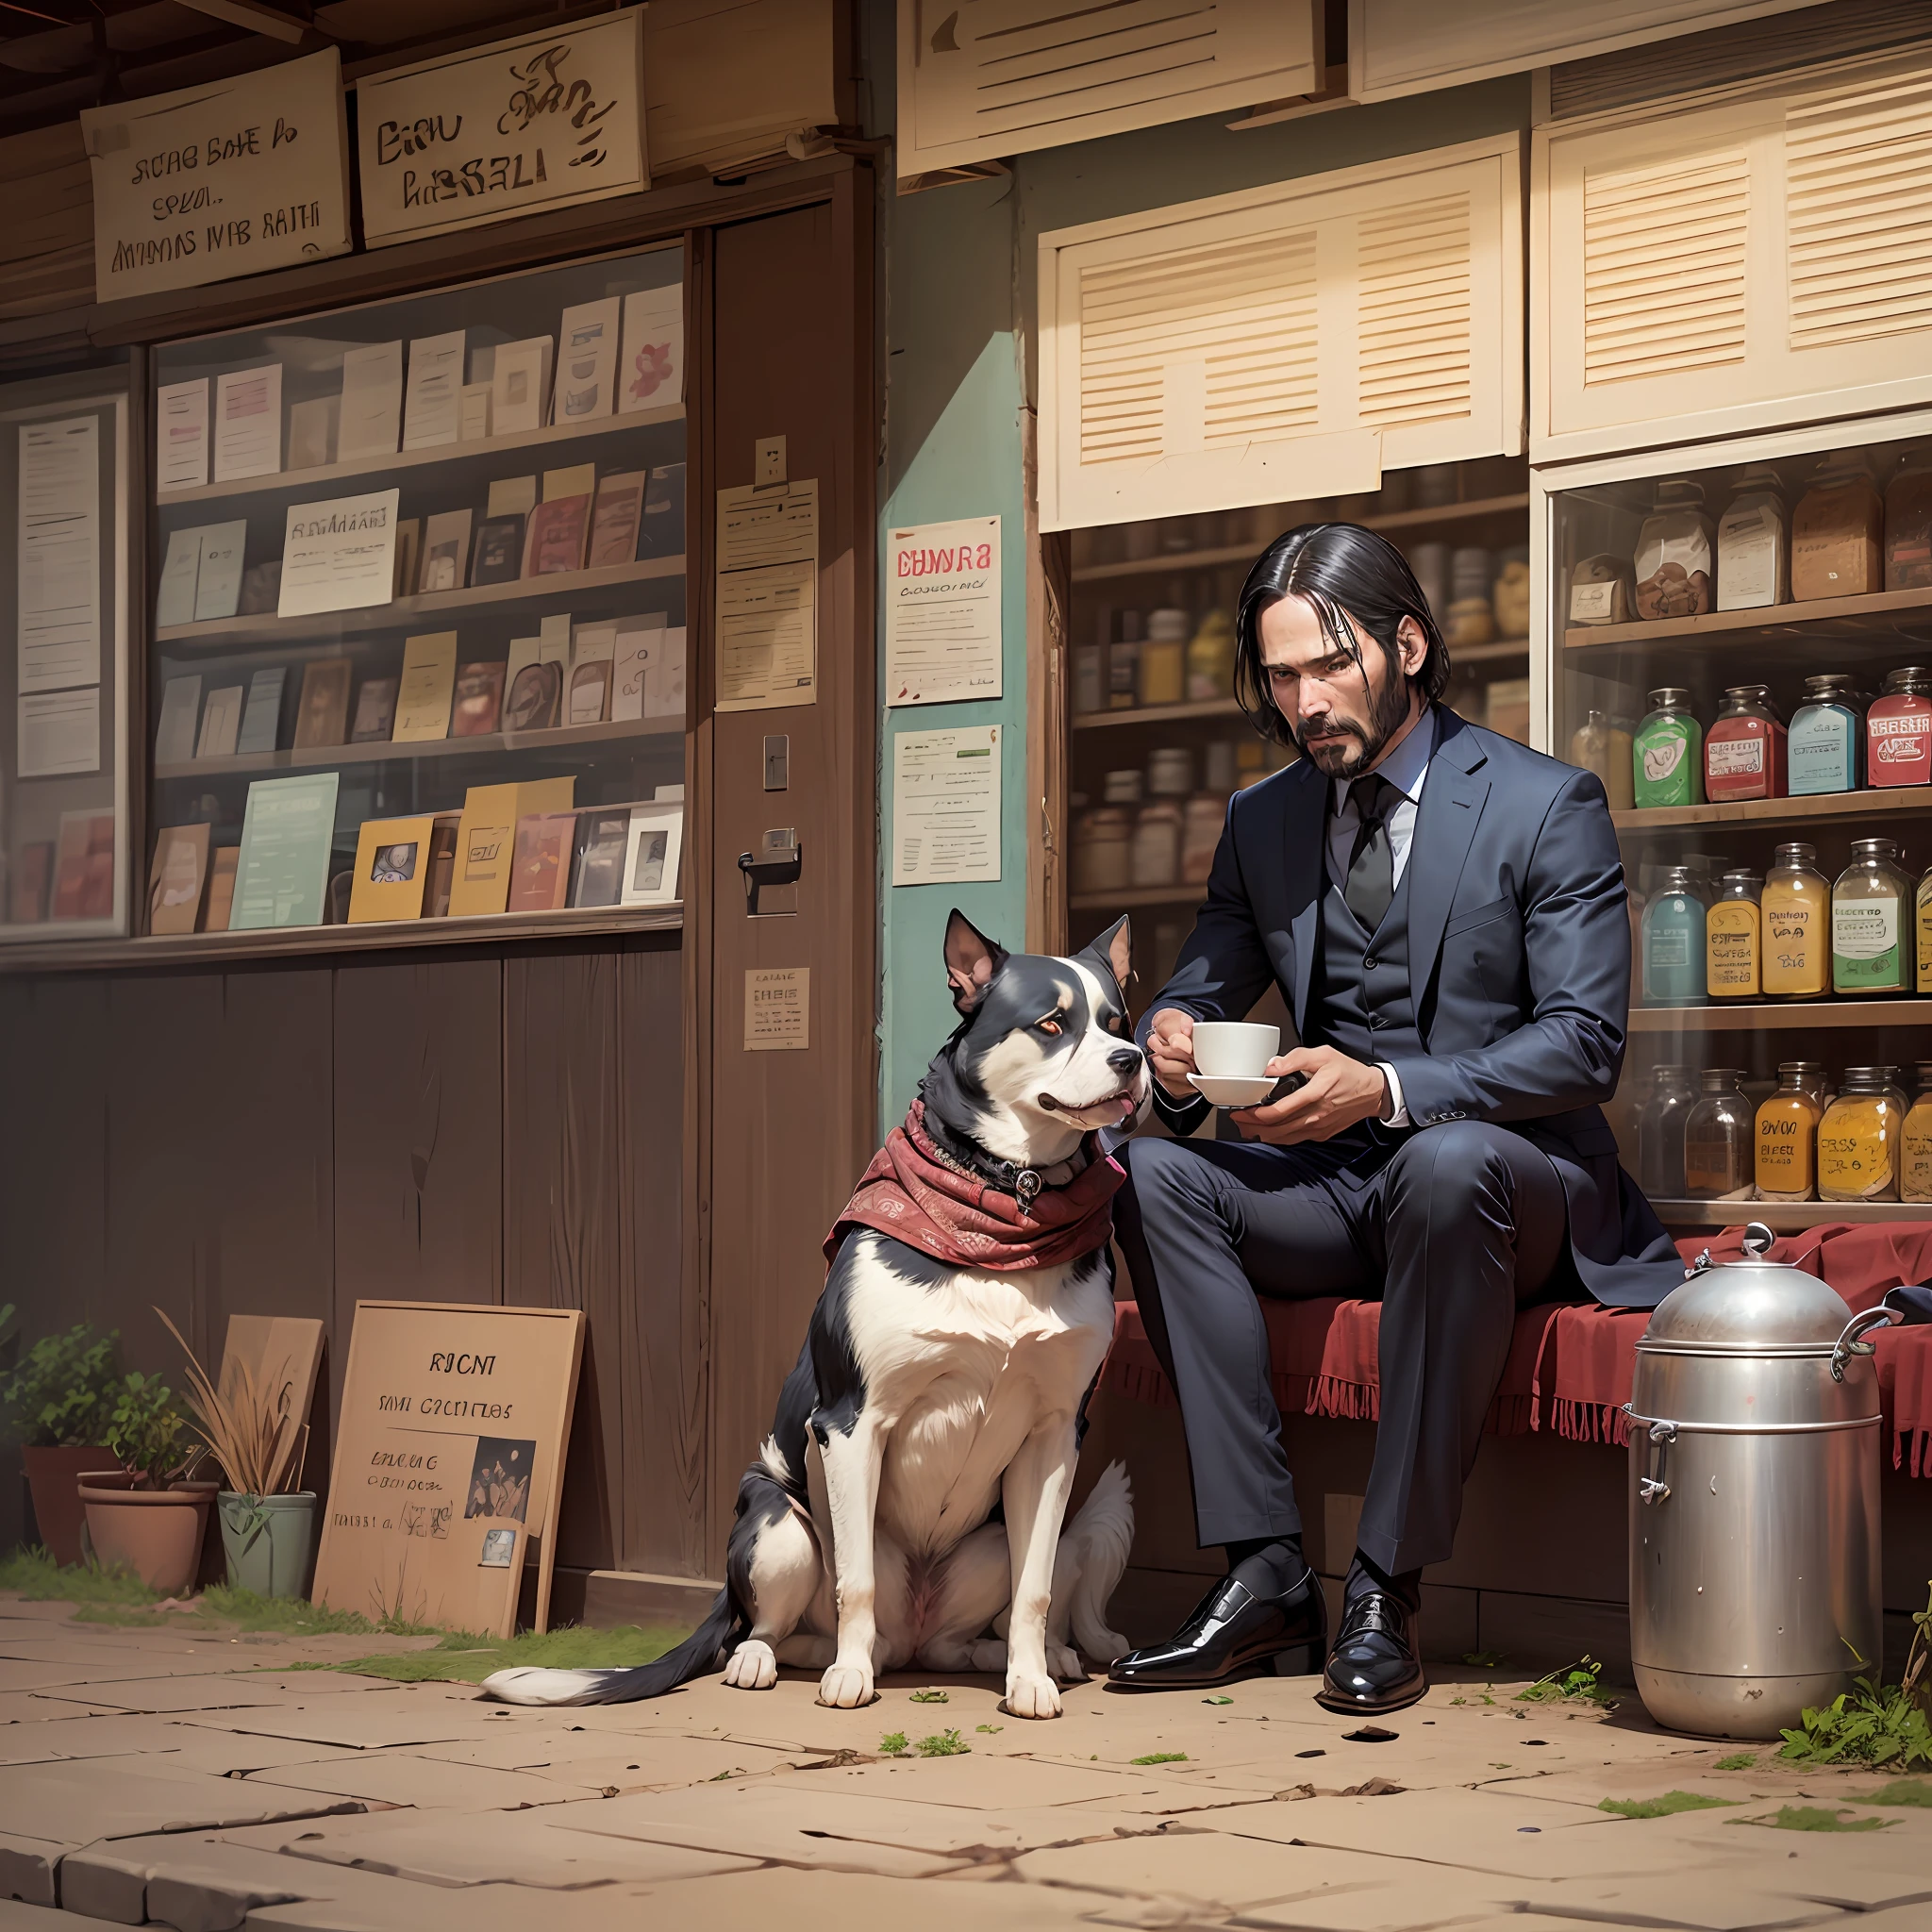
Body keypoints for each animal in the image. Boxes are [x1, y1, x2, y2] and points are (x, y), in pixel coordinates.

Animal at [487, 911, 1143, 1715]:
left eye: (1117, 1021)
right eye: (1052, 1023)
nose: (1132, 1060)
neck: (1004, 1207)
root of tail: (912, 1635)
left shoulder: (1055, 1434)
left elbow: (1037, 1588)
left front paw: (1030, 1678)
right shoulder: (852, 1423)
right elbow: (853, 1582)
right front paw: (849, 1678)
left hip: (982, 1547)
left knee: (954, 1636)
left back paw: (1021, 1656)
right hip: (779, 1524)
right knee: (784, 1626)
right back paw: (778, 1660)